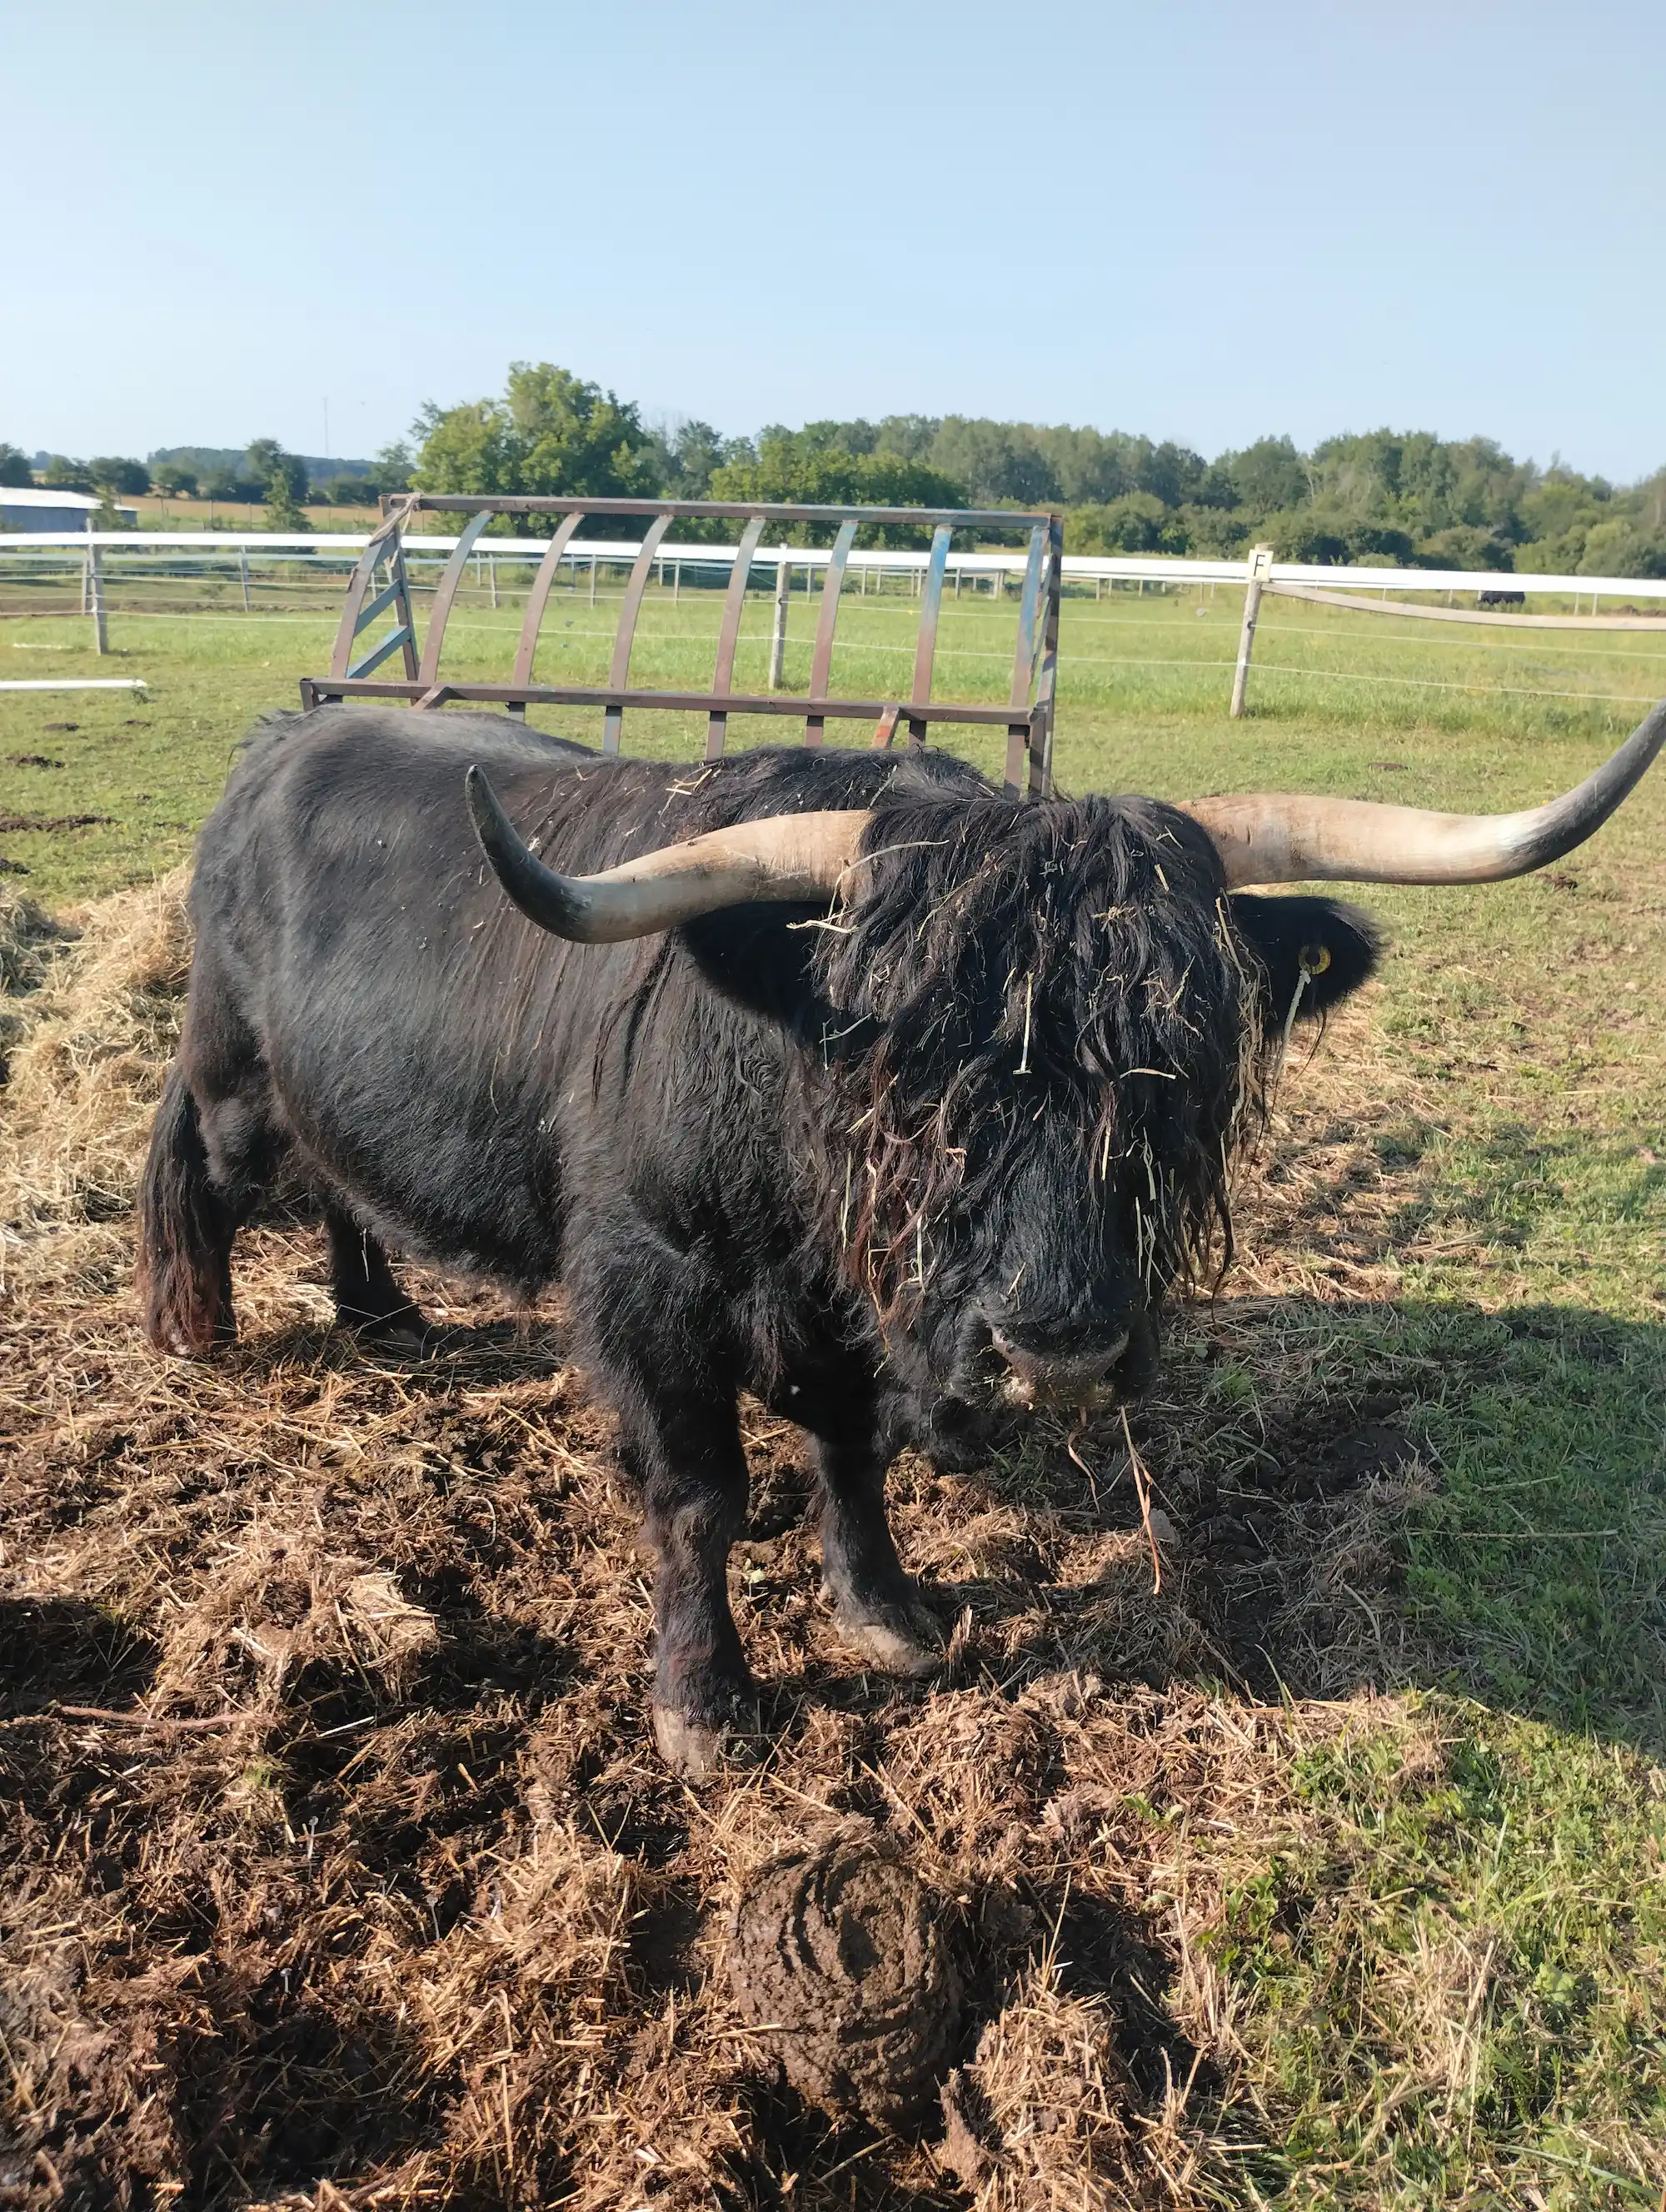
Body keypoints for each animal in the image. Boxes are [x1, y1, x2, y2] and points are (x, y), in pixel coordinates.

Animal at [137, 699, 1665, 1773]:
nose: (1060, 1345)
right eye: (911, 1070)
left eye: (1173, 1064)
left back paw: (383, 1315)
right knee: (200, 1162)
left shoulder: (855, 1309)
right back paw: (195, 1328)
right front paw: (706, 1703)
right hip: (232, 1074)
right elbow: (698, 1494)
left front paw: (886, 1612)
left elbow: (851, 1450)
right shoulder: (647, 1283)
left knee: (342, 1183)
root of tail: (284, 742)